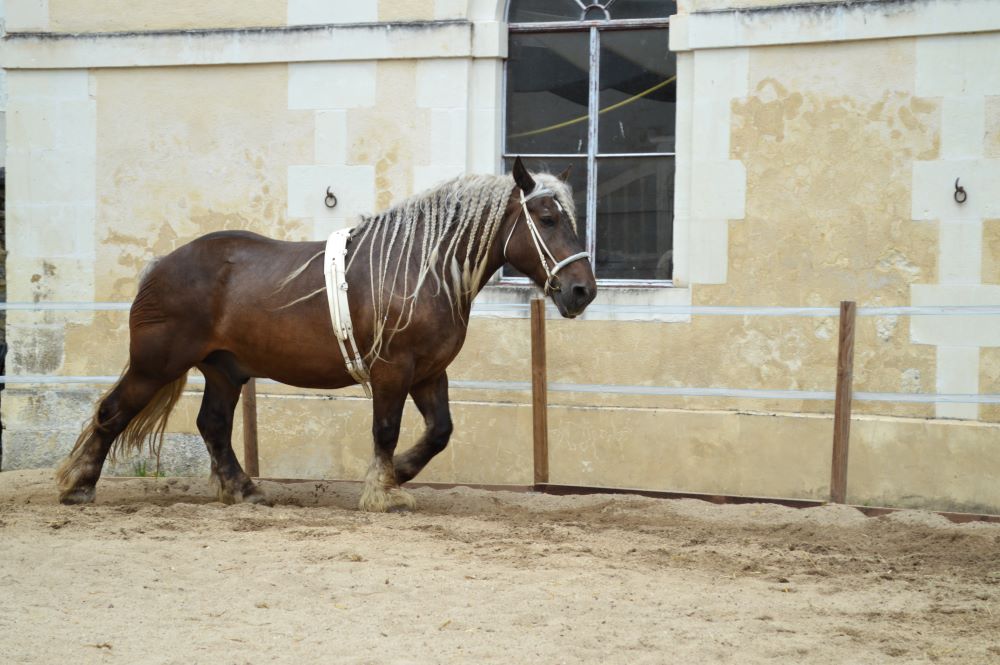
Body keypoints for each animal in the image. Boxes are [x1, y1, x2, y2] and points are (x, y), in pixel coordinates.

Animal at [56, 158, 597, 511]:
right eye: (547, 218)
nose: (582, 291)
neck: (420, 268)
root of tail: (160, 266)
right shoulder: (392, 371)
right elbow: (386, 430)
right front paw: (382, 491)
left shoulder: (429, 373)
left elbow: (439, 432)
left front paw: (399, 473)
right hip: (156, 364)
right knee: (111, 412)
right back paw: (78, 486)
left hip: (224, 371)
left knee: (212, 425)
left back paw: (243, 489)